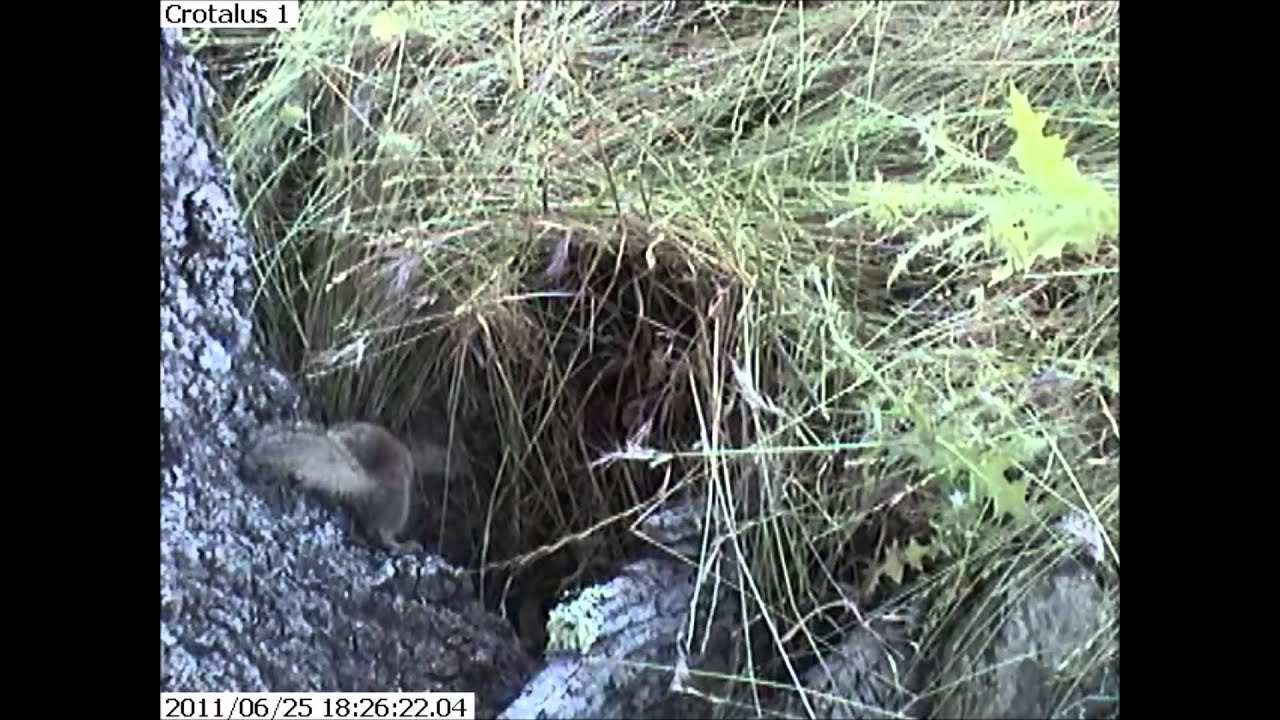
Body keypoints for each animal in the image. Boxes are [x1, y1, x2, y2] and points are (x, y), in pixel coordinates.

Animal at [244, 419, 466, 553]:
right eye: (453, 455)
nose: (462, 471)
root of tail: (364, 478)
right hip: (398, 501)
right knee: (383, 532)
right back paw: (403, 545)